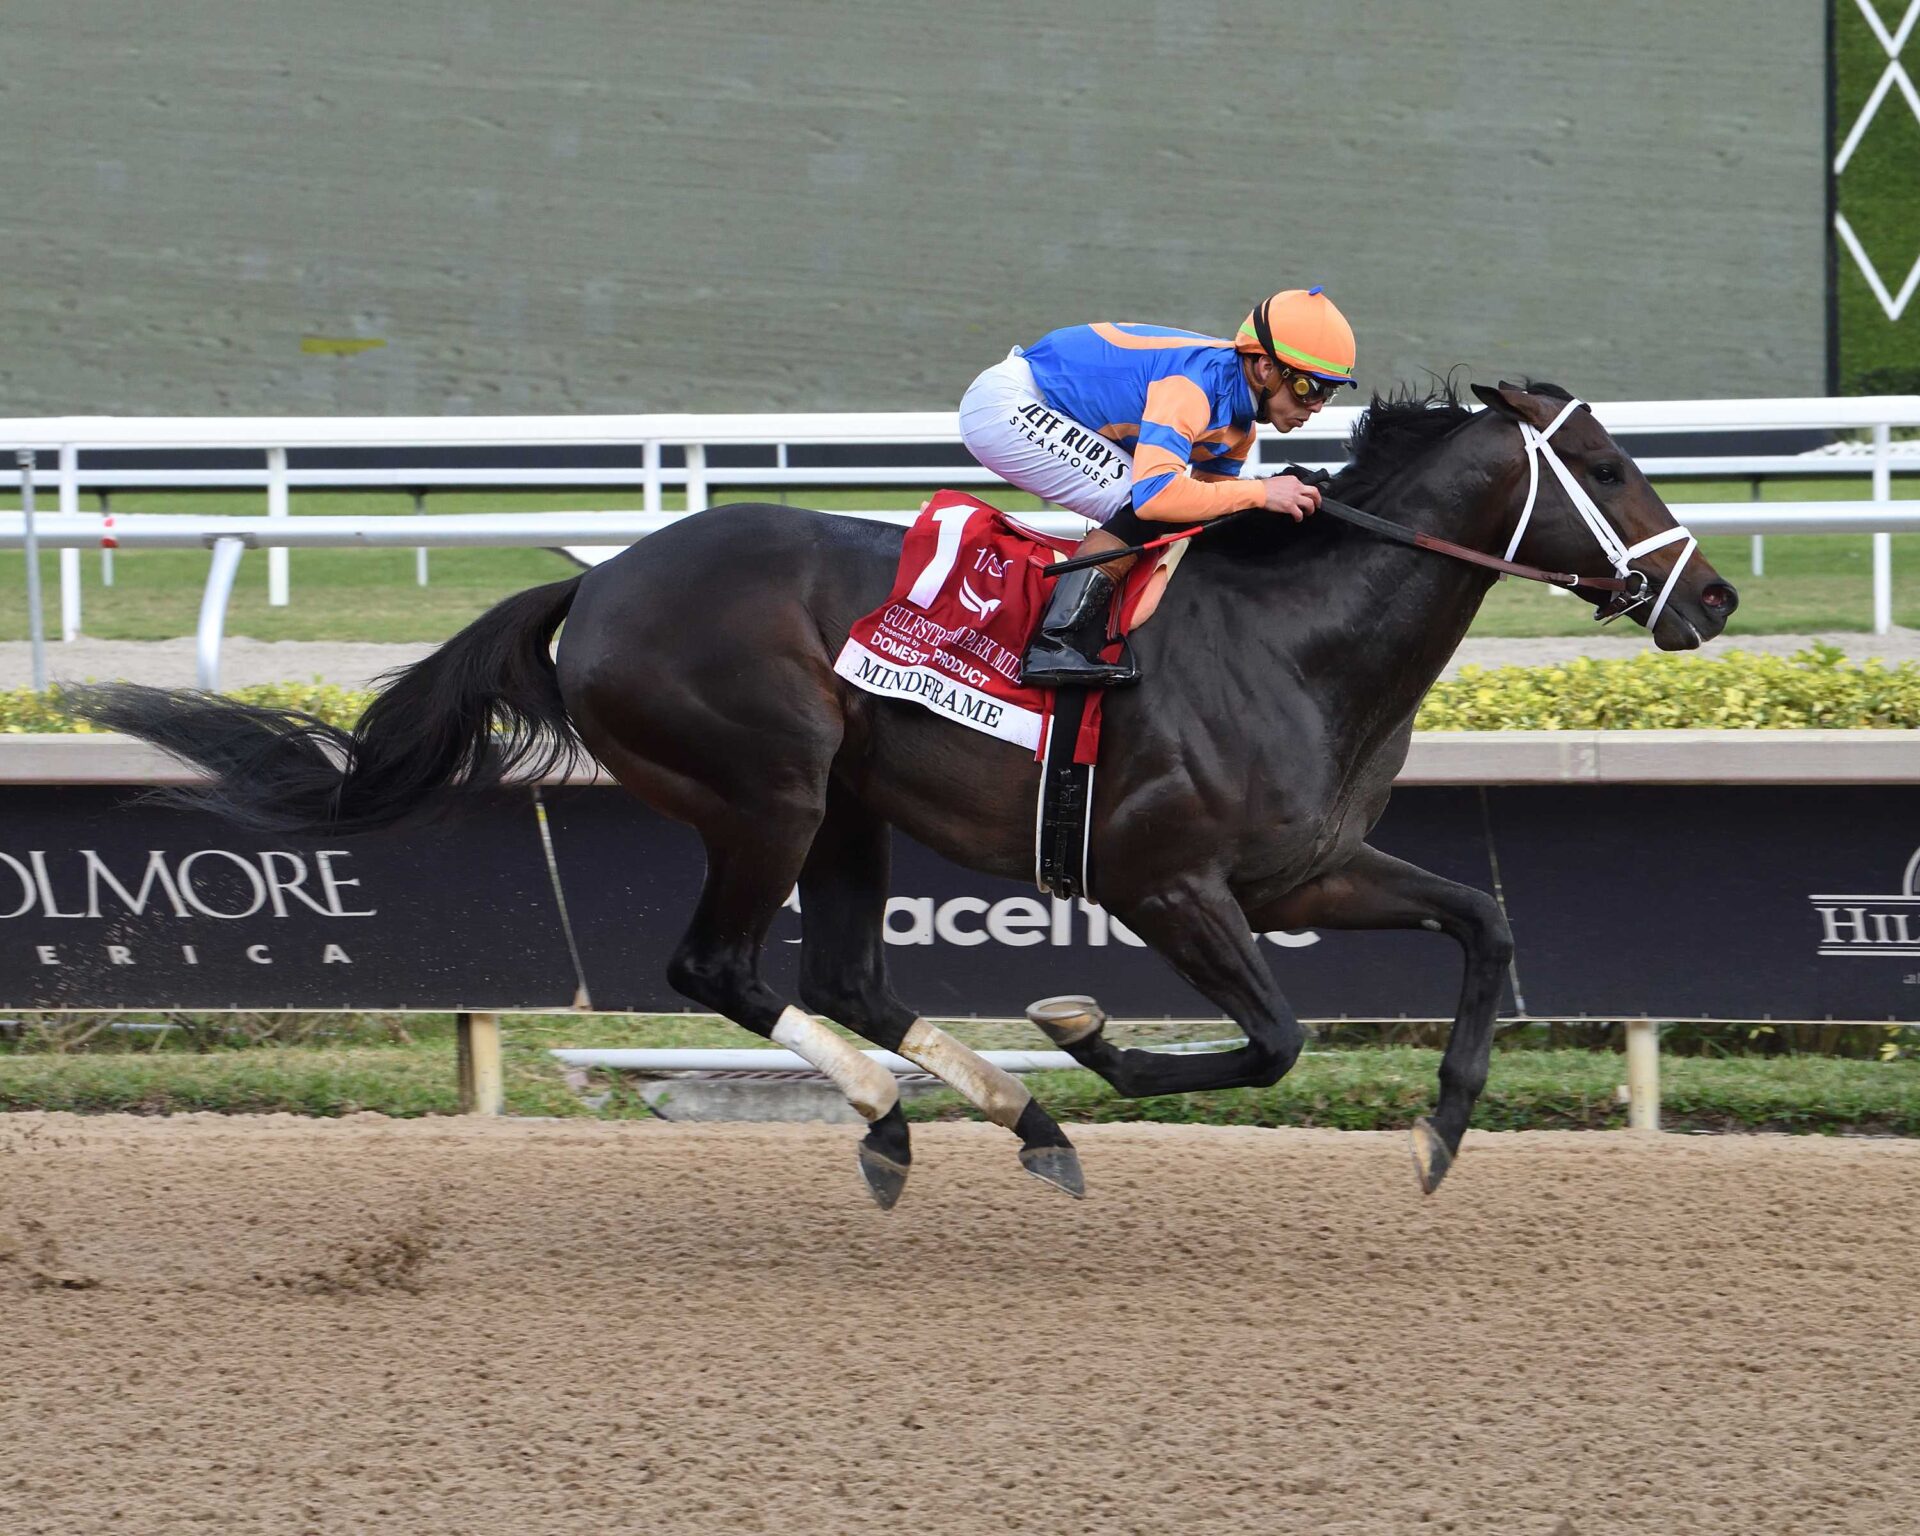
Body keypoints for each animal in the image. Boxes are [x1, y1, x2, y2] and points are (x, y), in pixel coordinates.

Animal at [71, 381, 1738, 1207]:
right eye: (1607, 463)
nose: (1714, 594)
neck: (1291, 640)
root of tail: (599, 581)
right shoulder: (1163, 882)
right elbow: (1269, 1043)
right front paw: (1090, 1035)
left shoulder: (1304, 872)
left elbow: (1485, 926)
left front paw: (1447, 1127)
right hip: (769, 789)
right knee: (721, 967)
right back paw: (901, 1109)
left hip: (851, 809)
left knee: (850, 976)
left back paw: (1002, 1113)